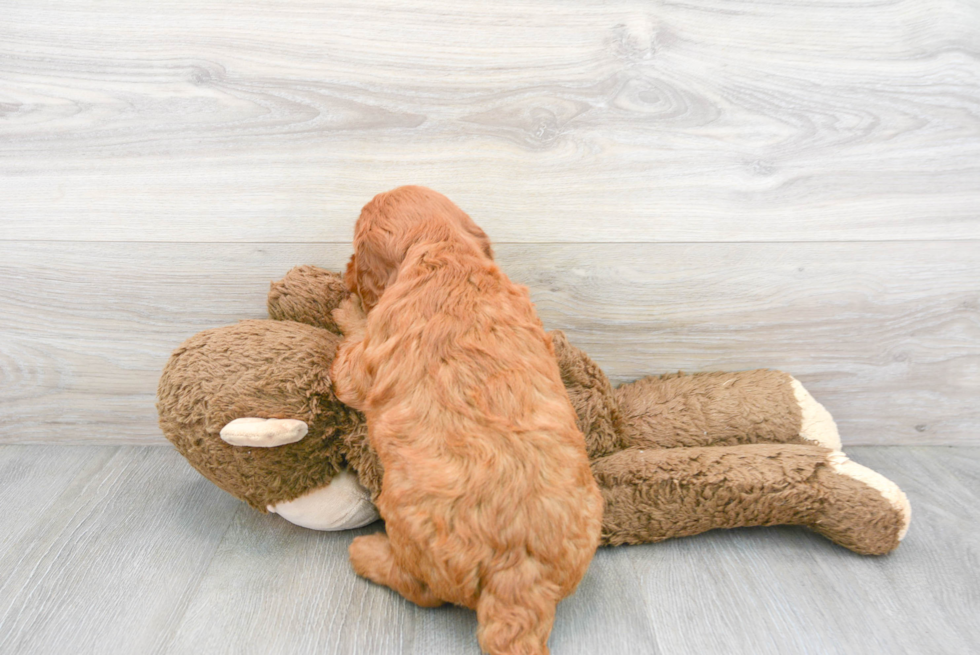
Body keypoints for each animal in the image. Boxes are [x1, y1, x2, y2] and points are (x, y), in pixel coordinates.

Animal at [332, 187, 604, 652]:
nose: (346, 272)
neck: (445, 252)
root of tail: (519, 580)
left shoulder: (360, 366)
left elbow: (350, 349)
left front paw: (347, 309)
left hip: (404, 516)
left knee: (421, 590)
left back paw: (366, 554)